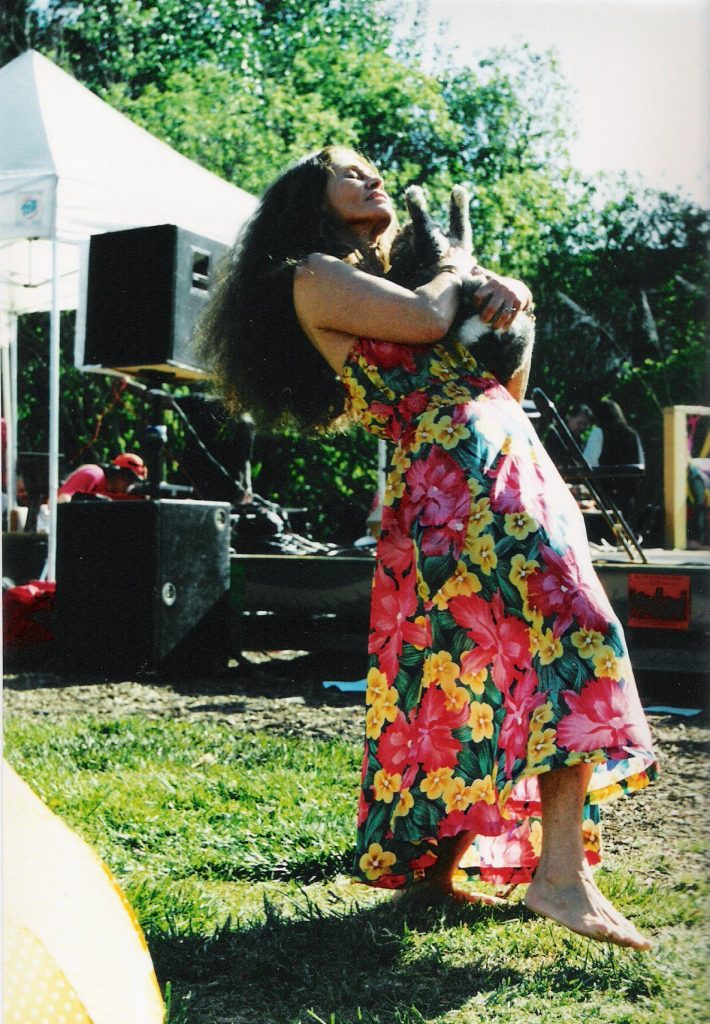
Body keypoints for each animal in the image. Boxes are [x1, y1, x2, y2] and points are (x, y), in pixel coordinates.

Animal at [385, 183, 532, 385]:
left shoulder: (460, 243)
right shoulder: (432, 249)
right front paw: (414, 194)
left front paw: (458, 193)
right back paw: (476, 282)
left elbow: (460, 223)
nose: (405, 228)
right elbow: (425, 227)